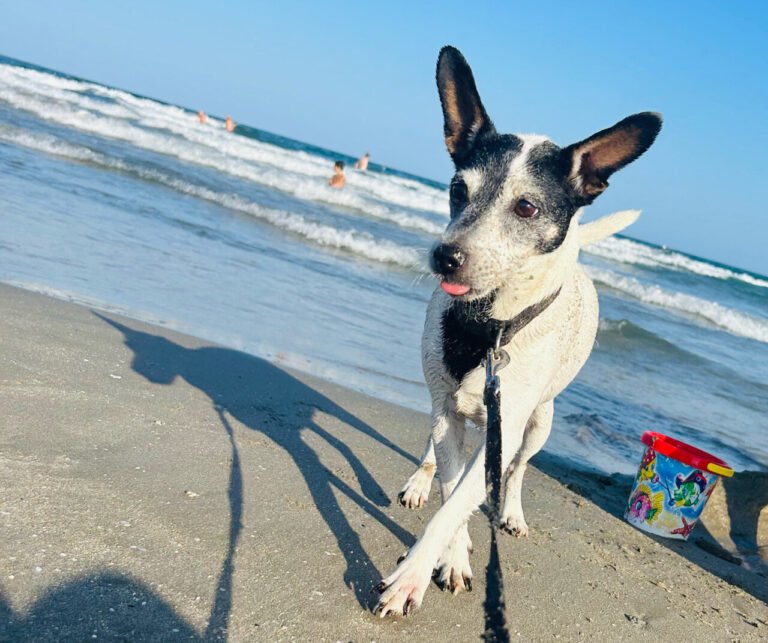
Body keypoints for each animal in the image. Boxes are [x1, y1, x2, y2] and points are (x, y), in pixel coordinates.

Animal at [376, 46, 656, 620]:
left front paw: (414, 574)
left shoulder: (506, 426)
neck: (489, 325)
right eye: (457, 190)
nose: (445, 257)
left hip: (539, 422)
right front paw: (453, 554)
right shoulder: (449, 411)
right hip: (447, 403)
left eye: (526, 207)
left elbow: (462, 500)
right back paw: (421, 480)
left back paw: (511, 512)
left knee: (518, 470)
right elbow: (451, 487)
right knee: (436, 451)